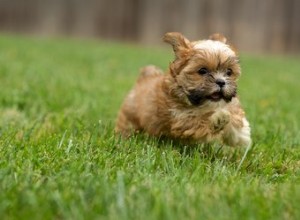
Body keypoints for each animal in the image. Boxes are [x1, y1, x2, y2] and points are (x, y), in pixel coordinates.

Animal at [115, 32, 251, 146]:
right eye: (202, 71)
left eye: (229, 72)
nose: (221, 82)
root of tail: (144, 78)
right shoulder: (181, 119)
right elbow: (200, 121)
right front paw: (218, 119)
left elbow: (234, 115)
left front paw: (240, 136)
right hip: (130, 116)